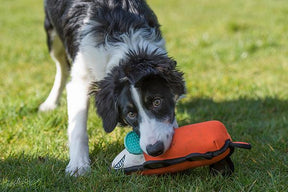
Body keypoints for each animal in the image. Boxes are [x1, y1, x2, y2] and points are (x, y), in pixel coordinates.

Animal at [41, 0, 184, 176]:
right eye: (130, 114)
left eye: (157, 102)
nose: (155, 149)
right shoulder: (80, 80)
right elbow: (77, 127)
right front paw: (78, 165)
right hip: (52, 38)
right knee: (61, 66)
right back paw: (50, 102)